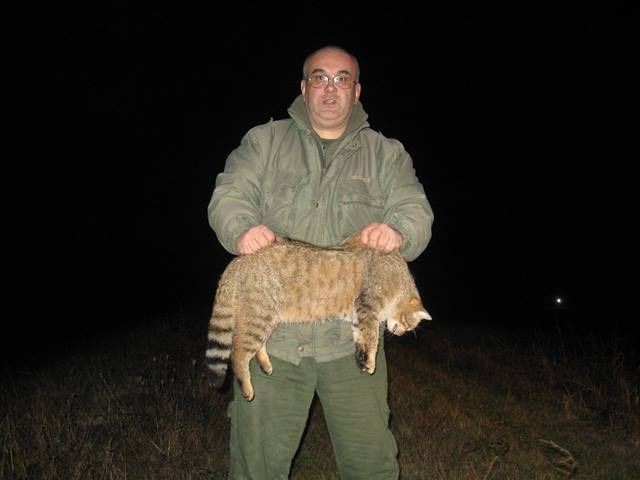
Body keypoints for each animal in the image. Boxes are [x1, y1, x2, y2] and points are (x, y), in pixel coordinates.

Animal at [205, 233, 431, 401]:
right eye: (408, 324)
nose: (401, 333)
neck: (399, 280)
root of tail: (238, 262)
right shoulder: (368, 305)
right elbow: (372, 337)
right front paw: (372, 359)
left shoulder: (357, 315)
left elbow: (360, 337)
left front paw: (362, 356)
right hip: (258, 316)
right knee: (238, 353)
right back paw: (246, 385)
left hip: (267, 318)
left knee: (256, 345)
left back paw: (264, 362)